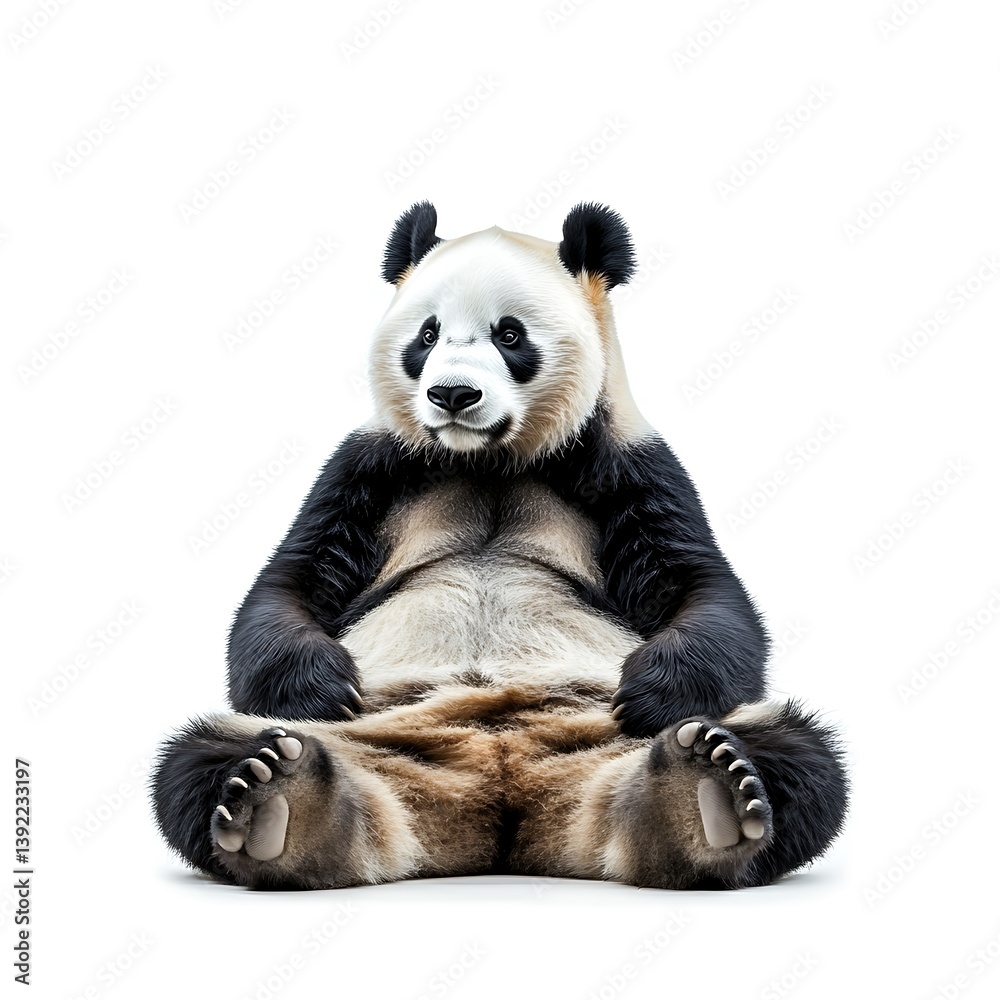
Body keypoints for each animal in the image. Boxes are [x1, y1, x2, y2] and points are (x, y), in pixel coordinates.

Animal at [152, 202, 848, 891]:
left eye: (510, 336)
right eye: (427, 335)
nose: (453, 395)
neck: (488, 459)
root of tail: (496, 793)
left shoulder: (627, 464)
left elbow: (703, 592)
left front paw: (652, 689)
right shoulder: (371, 468)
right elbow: (290, 584)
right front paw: (322, 683)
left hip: (623, 733)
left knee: (796, 755)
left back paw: (702, 794)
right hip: (360, 733)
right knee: (199, 759)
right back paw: (281, 802)